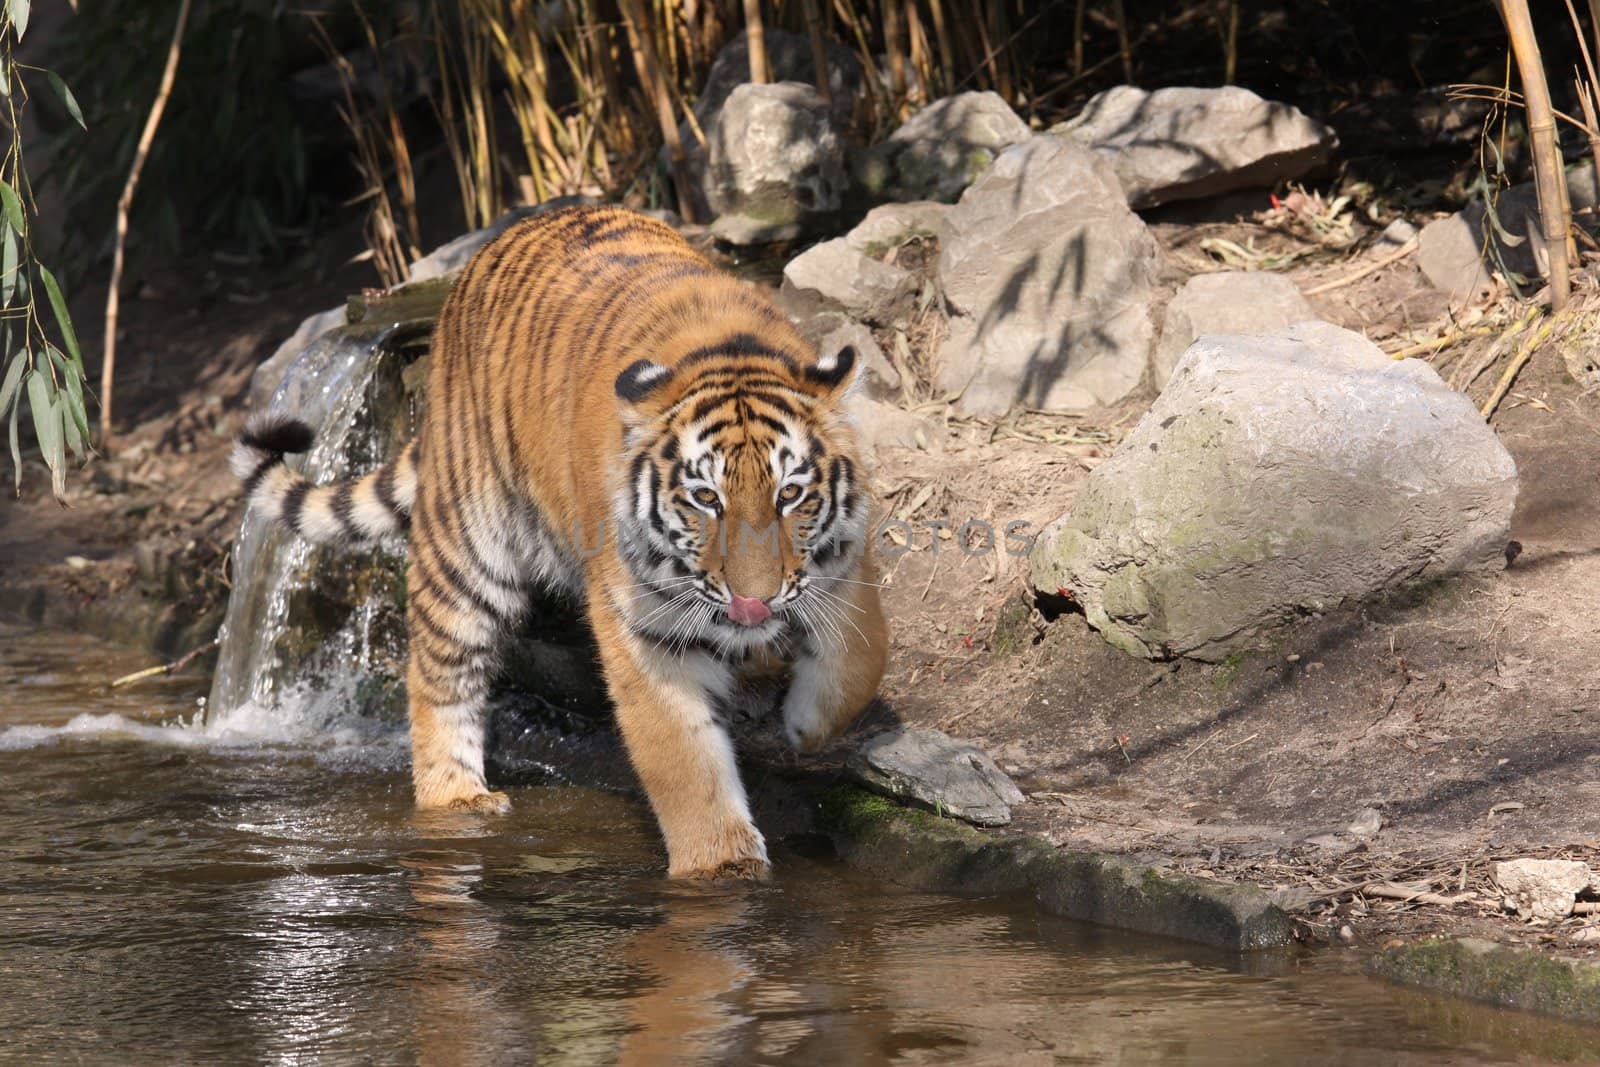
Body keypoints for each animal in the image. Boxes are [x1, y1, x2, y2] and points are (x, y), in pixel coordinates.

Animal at [230, 202, 889, 876]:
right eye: (707, 498)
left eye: (790, 494)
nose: (754, 601)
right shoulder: (640, 627)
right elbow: (684, 761)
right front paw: (719, 865)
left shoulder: (843, 563)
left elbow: (862, 656)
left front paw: (807, 724)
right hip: (468, 550)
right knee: (438, 672)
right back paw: (457, 798)